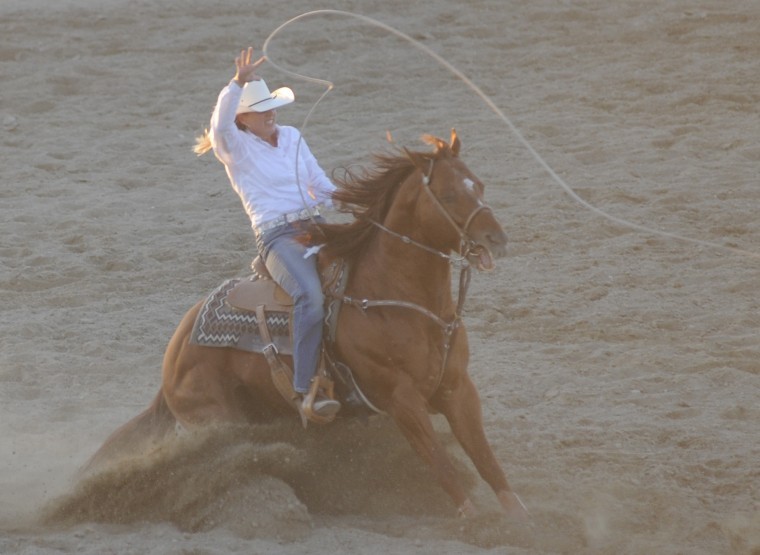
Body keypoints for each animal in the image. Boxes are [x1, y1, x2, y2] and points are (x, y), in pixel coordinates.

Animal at [89, 130, 528, 520]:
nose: (497, 238)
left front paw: (520, 519)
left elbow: (486, 458)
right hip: (219, 421)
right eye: (449, 195)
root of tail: (176, 351)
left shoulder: (457, 389)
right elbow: (440, 462)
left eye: (480, 185)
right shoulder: (400, 399)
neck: (402, 303)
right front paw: (477, 522)